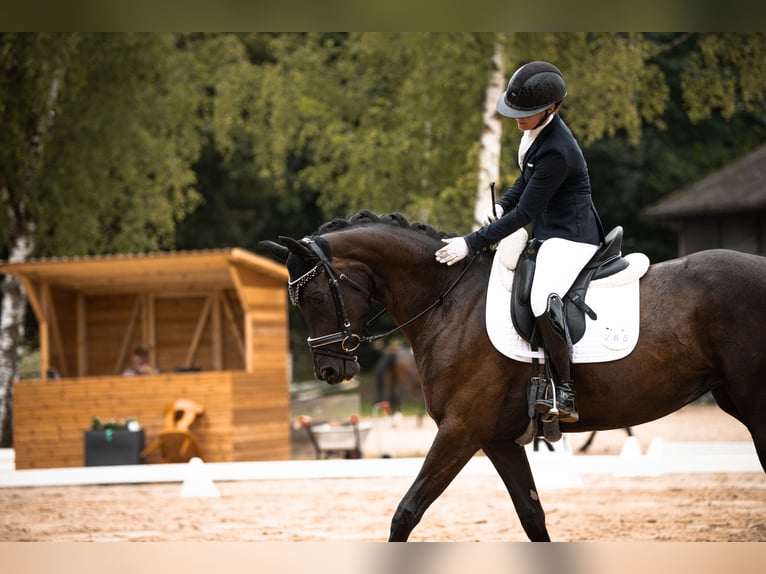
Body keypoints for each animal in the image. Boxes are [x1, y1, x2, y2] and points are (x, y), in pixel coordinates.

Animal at [260, 212, 766, 544]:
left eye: (317, 296)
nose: (330, 371)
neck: (449, 300)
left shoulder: (461, 430)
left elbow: (406, 513)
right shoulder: (497, 439)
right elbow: (532, 516)